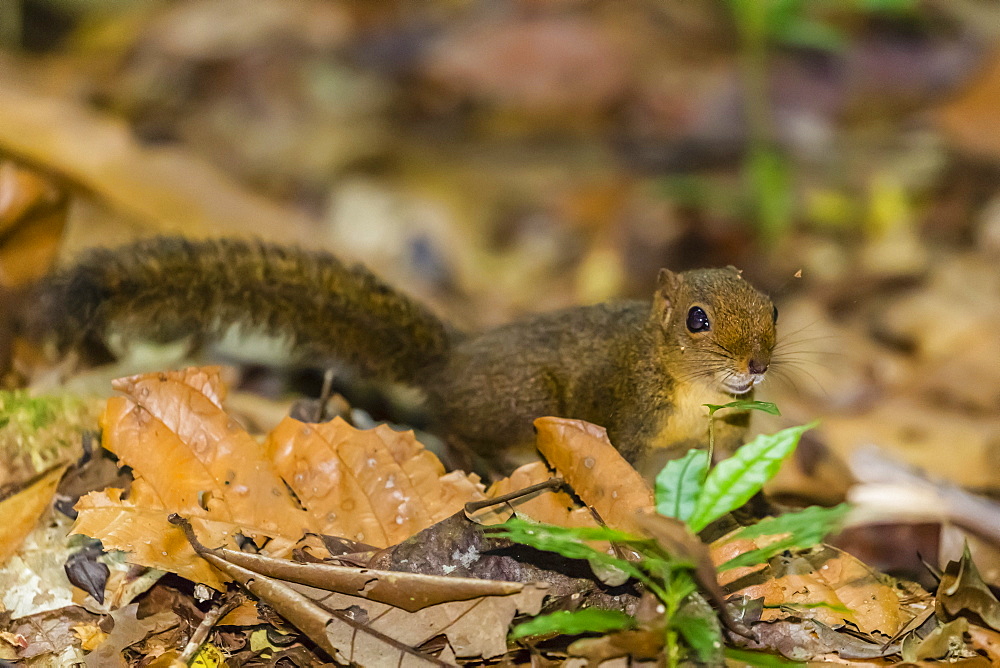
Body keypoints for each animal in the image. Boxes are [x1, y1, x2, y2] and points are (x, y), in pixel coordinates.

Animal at [33, 237, 780, 478]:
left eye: (773, 308)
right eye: (697, 320)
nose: (757, 366)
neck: (688, 392)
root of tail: (449, 364)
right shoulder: (627, 417)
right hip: (525, 403)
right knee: (455, 426)